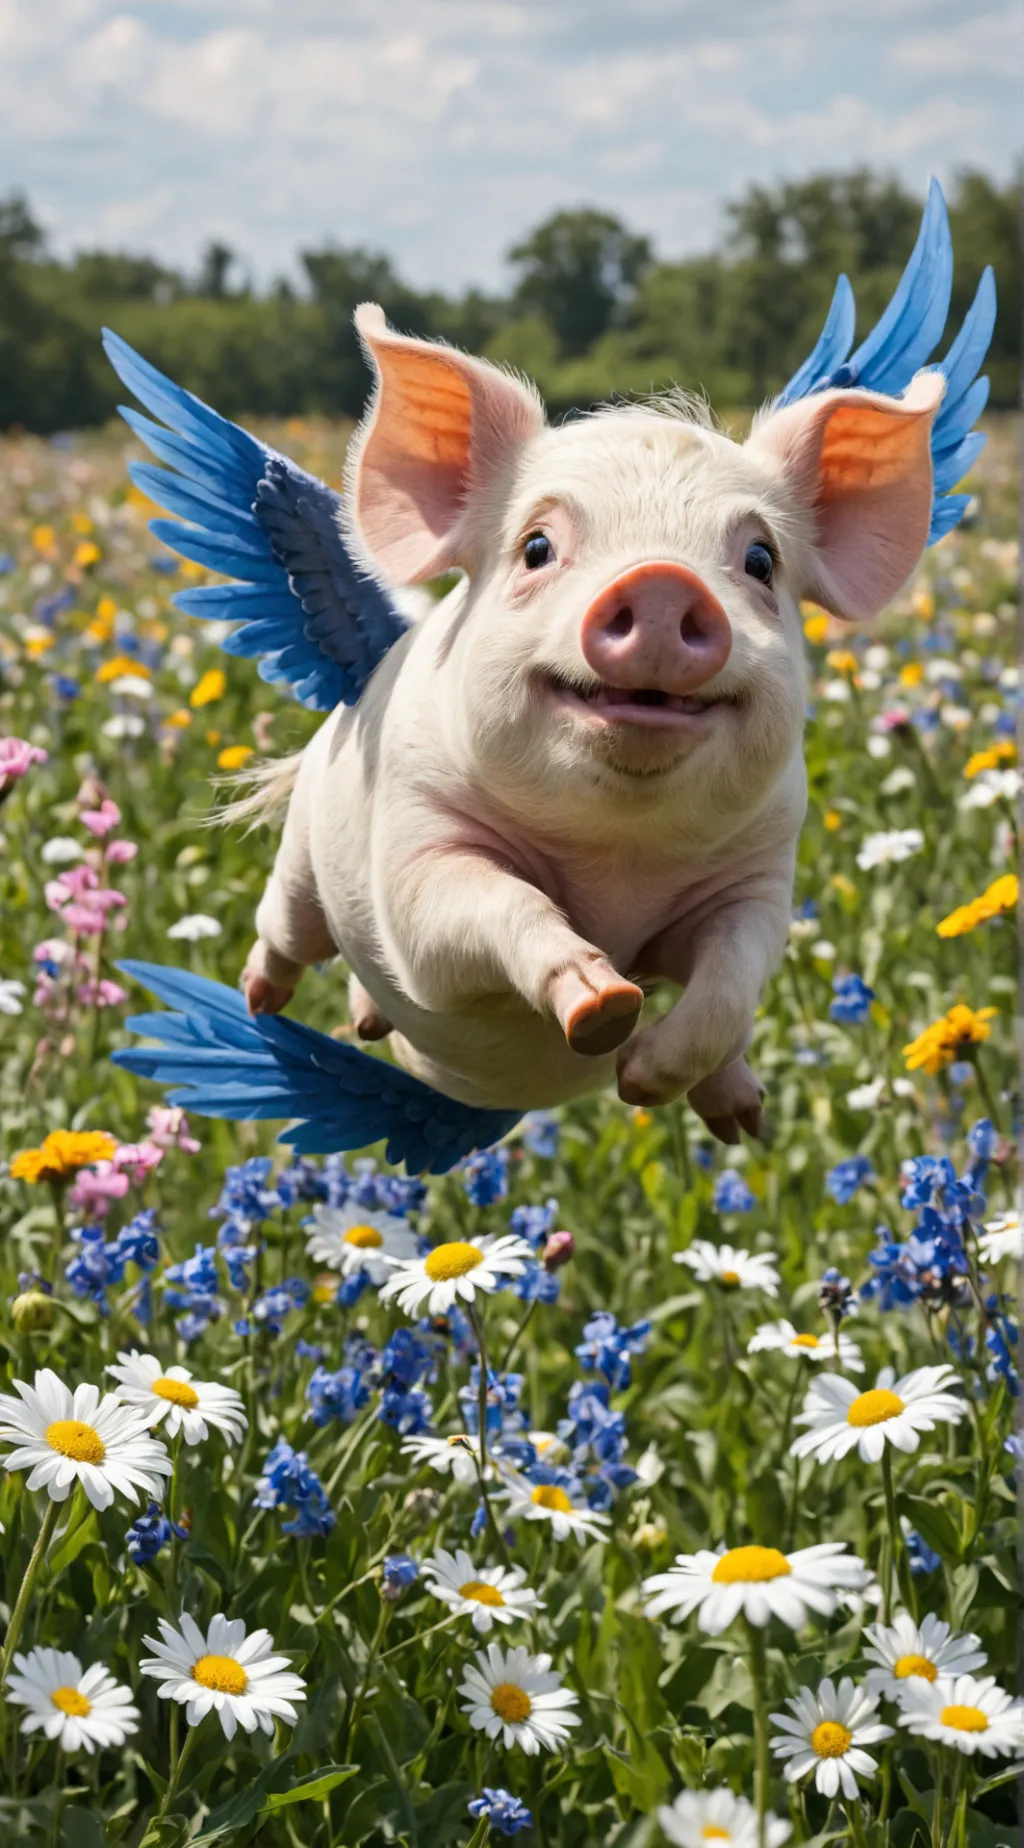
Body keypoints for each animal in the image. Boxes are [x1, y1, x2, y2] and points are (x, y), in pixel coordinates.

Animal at [240, 304, 943, 1142]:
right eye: (537, 546)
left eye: (762, 560)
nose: (663, 581)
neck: (618, 858)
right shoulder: (420, 845)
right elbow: (489, 905)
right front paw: (606, 1010)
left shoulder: (758, 875)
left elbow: (731, 985)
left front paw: (638, 1075)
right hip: (305, 858)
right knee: (287, 928)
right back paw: (261, 1003)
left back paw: (737, 1116)